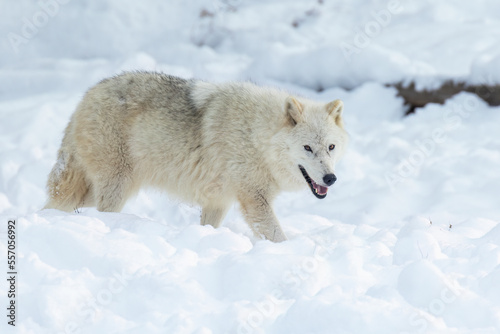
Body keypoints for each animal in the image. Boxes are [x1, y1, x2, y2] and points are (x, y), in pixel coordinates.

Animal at [46, 72, 348, 241]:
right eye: (308, 148)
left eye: (331, 147)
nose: (330, 179)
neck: (256, 134)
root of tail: (88, 95)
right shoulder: (255, 200)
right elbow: (277, 236)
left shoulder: (219, 201)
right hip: (116, 188)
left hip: (95, 191)